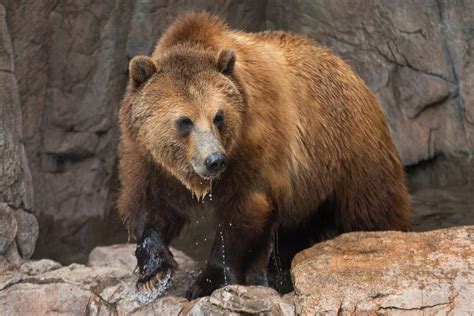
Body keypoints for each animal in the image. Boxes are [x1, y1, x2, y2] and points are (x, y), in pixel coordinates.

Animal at [117, 11, 412, 298]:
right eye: (184, 121)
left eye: (219, 116)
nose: (214, 161)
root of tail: (352, 72)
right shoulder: (146, 157)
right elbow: (151, 205)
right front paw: (153, 273)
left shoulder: (257, 145)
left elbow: (244, 212)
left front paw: (209, 281)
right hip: (311, 185)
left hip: (353, 155)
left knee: (373, 210)